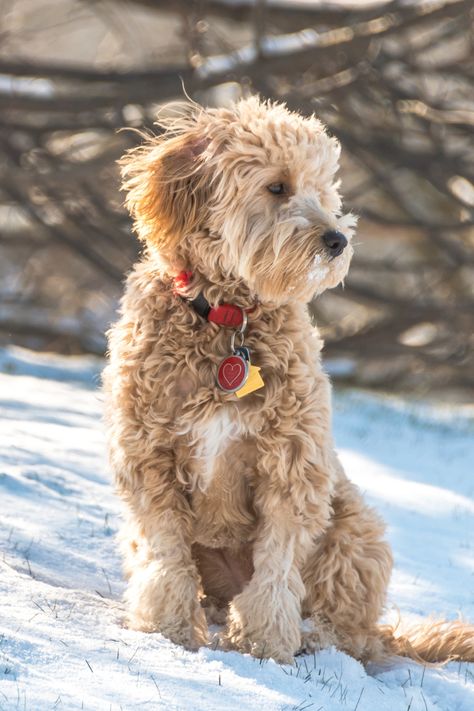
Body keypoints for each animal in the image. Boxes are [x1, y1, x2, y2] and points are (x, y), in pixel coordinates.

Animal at [104, 97, 474, 664]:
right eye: (277, 186)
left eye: (323, 190)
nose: (338, 239)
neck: (229, 317)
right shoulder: (149, 456)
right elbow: (166, 554)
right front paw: (167, 628)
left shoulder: (292, 465)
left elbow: (277, 567)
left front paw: (266, 643)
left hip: (356, 528)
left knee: (353, 633)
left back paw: (313, 638)